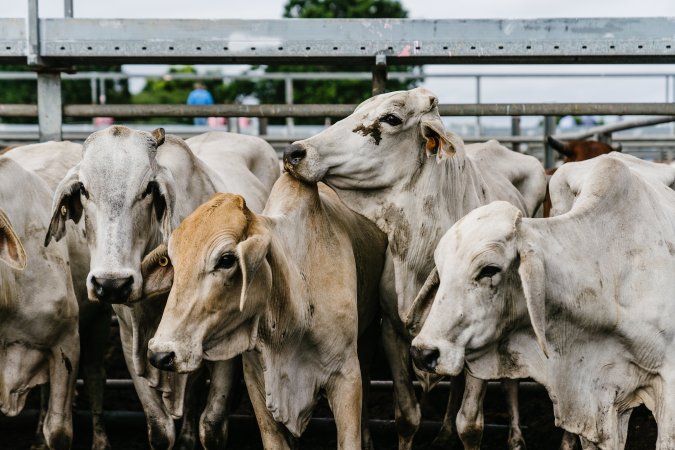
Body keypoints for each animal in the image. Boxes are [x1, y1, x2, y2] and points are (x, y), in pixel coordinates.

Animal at [46, 126, 280, 450]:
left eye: (147, 189)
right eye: (84, 189)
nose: (111, 284)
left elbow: (212, 426)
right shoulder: (131, 339)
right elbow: (160, 430)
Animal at [282, 87, 548, 450]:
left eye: (391, 118)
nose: (295, 152)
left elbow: (471, 424)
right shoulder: (392, 333)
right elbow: (407, 417)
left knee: (509, 381)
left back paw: (516, 436)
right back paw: (444, 431)